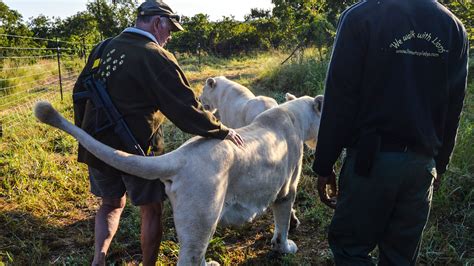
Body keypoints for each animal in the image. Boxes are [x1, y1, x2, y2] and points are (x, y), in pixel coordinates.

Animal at [33, 94, 322, 264]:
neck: (295, 117)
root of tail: (179, 156)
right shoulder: (286, 190)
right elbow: (282, 222)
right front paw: (285, 246)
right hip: (202, 217)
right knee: (190, 257)